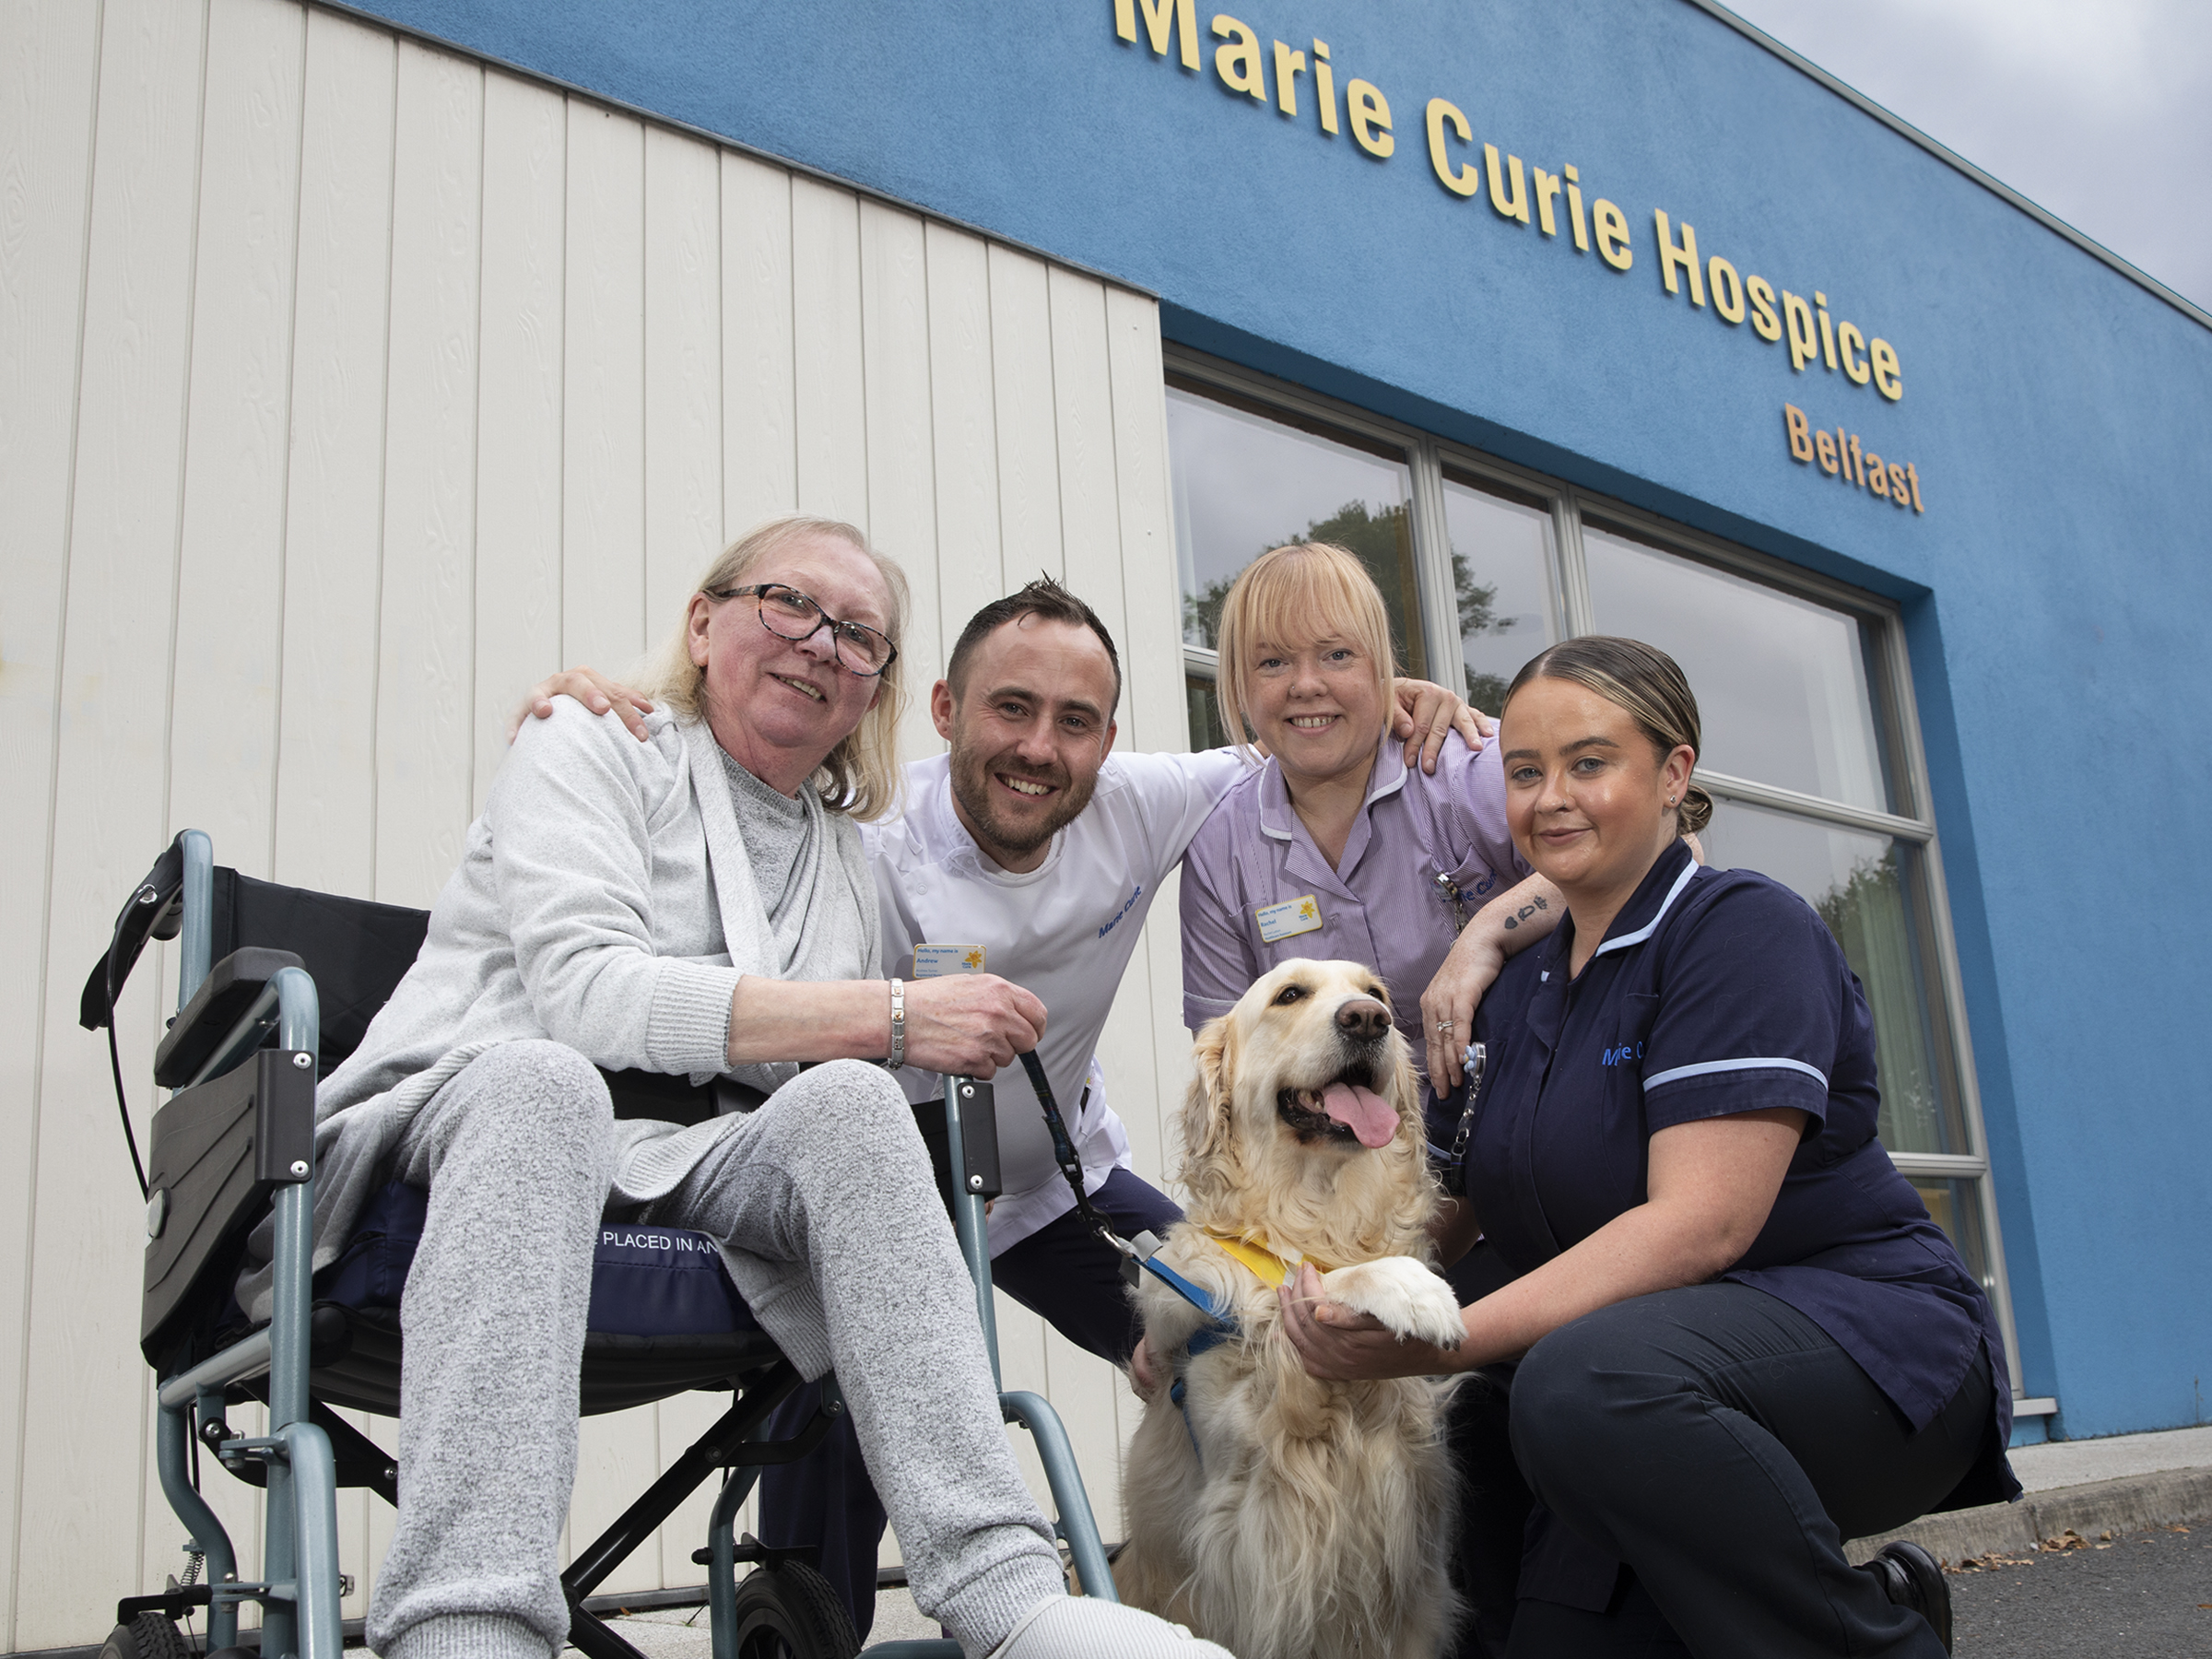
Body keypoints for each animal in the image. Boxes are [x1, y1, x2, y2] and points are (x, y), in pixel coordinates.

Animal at [1124, 959, 1468, 1659]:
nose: (1368, 1020)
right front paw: (1410, 1288)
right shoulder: (1250, 1505)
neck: (1320, 1217)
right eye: (1289, 995)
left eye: (1376, 993)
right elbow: (1303, 1287)